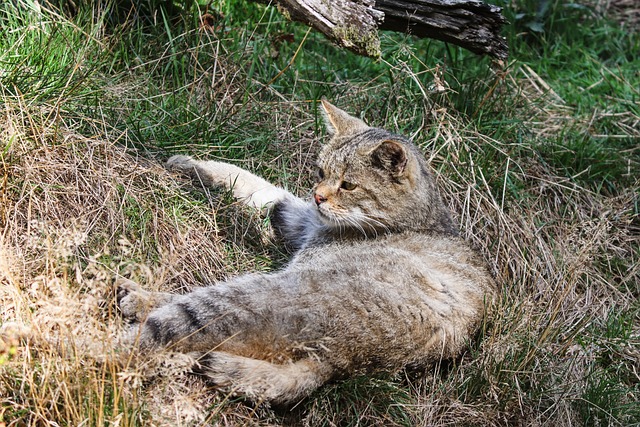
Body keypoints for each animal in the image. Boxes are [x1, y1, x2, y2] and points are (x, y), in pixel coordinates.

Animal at [117, 98, 498, 406]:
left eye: (348, 185)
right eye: (320, 171)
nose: (318, 196)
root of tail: (342, 361)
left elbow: (259, 187)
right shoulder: (298, 217)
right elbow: (259, 187)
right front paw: (193, 164)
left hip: (267, 292)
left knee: (168, 327)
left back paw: (121, 321)